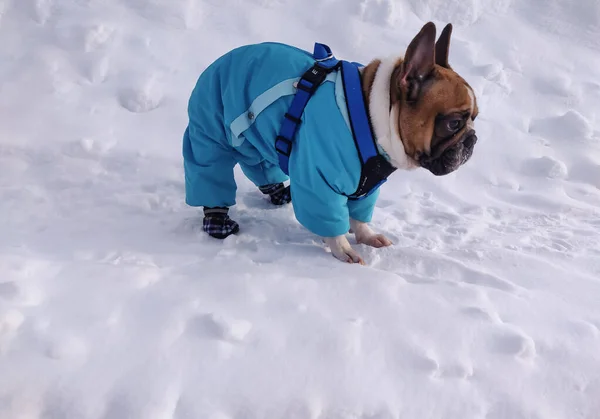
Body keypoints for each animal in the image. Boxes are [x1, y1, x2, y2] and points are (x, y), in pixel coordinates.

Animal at [183, 21, 478, 264]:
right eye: (453, 123)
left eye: (475, 118)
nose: (473, 139)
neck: (373, 115)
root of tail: (221, 60)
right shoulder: (318, 178)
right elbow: (328, 216)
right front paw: (342, 248)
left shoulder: (367, 186)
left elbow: (359, 215)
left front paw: (366, 235)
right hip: (211, 131)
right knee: (209, 170)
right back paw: (217, 220)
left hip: (255, 140)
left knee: (259, 165)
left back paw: (280, 192)